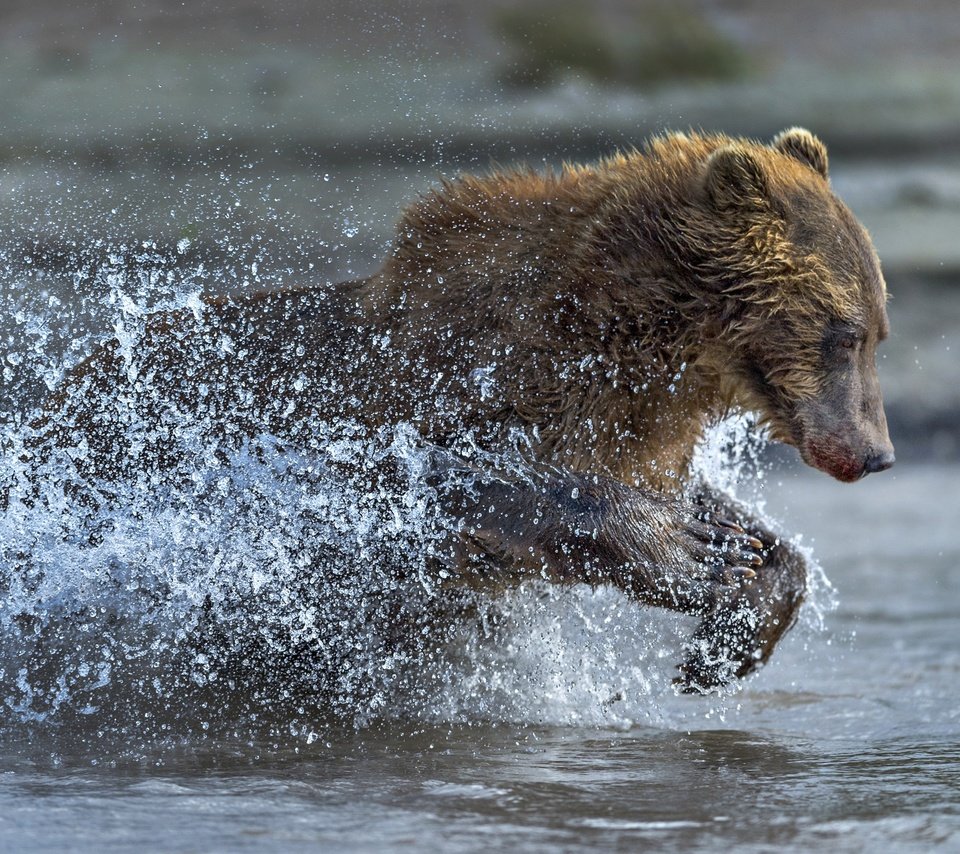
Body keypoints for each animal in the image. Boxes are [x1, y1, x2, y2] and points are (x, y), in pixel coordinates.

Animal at [22, 127, 892, 692]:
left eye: (878, 331)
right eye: (843, 333)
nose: (877, 452)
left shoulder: (637, 430)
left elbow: (727, 517)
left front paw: (732, 614)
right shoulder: (443, 384)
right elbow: (434, 482)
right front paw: (689, 553)